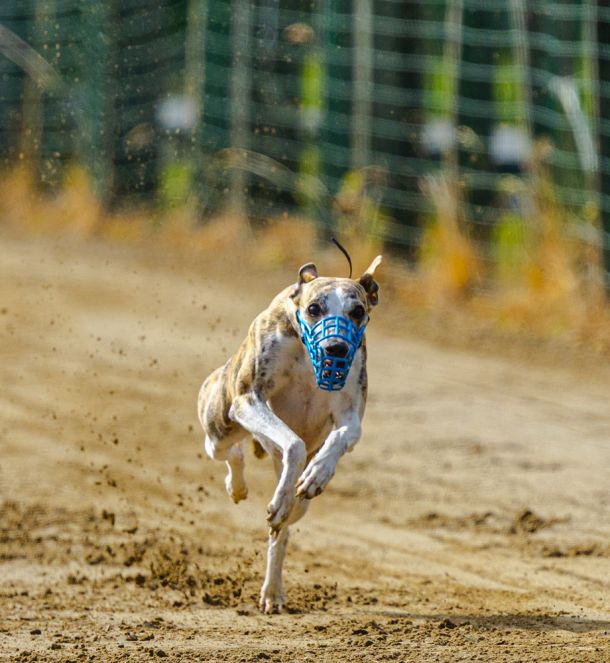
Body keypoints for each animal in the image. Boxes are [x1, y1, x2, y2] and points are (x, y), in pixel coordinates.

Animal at [197, 254, 381, 613]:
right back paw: (238, 487)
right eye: (314, 308)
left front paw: (317, 474)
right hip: (220, 426)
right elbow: (294, 443)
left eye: (357, 311)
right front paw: (281, 492)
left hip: (299, 503)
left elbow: (340, 438)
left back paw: (273, 591)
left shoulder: (351, 416)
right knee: (229, 452)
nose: (336, 348)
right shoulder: (249, 399)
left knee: (282, 530)